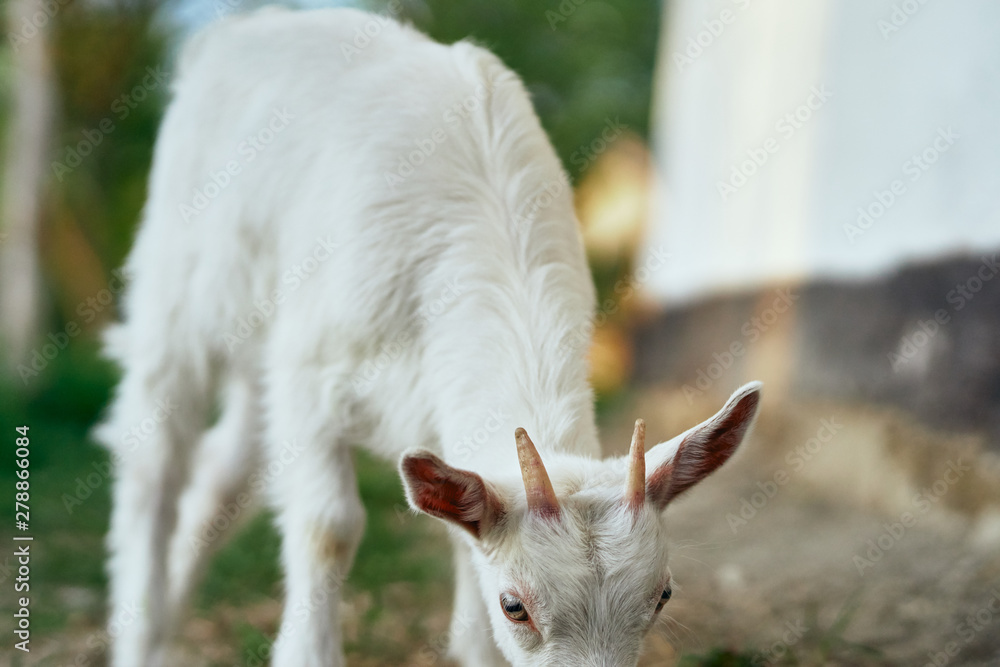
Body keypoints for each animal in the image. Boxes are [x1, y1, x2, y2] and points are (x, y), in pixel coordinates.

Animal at [96, 7, 762, 666]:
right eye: (514, 606)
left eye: (663, 596)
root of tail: (235, 34)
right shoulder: (309, 371)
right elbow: (327, 526)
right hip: (178, 281)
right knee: (153, 452)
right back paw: (140, 632)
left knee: (222, 471)